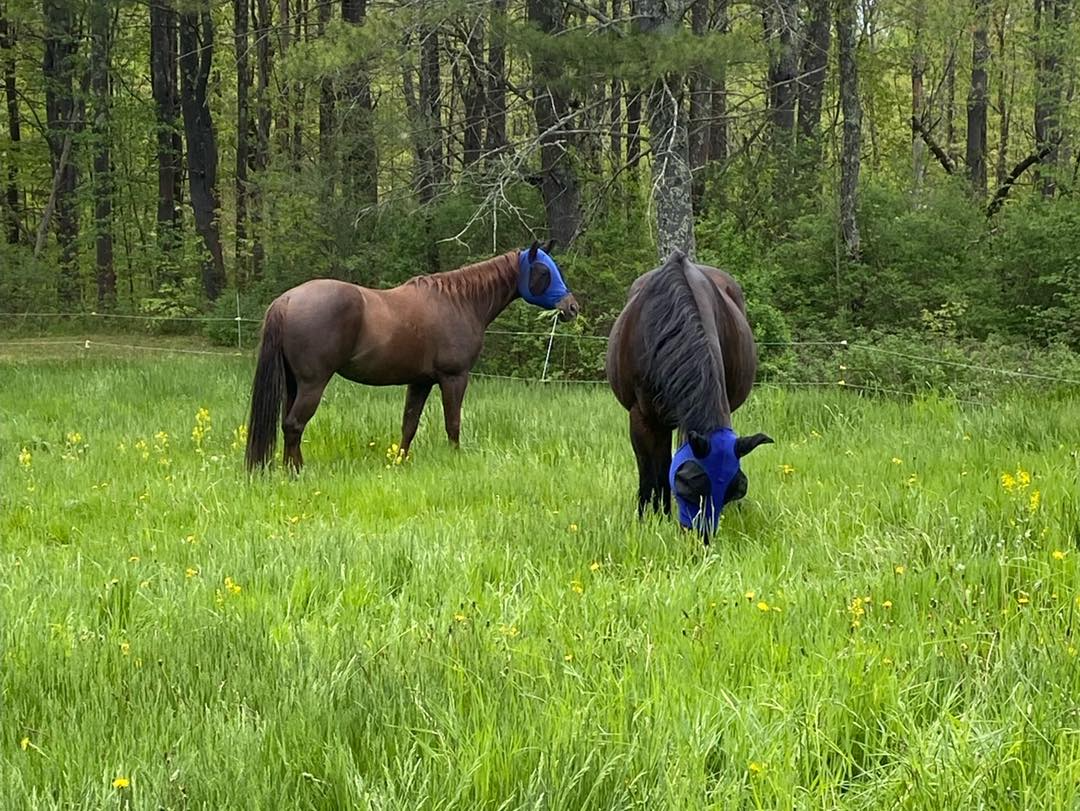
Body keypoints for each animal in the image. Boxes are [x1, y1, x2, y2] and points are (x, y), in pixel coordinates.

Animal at [245, 241, 579, 471]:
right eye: (543, 271)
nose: (572, 307)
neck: (460, 302)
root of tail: (288, 299)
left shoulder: (420, 382)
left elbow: (409, 424)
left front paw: (399, 463)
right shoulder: (454, 378)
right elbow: (452, 423)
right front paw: (455, 459)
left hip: (293, 384)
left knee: (288, 424)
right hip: (312, 384)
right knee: (294, 425)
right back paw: (297, 473)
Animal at [605, 250, 772, 539]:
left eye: (735, 489)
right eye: (688, 484)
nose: (701, 538)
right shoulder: (641, 418)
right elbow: (651, 471)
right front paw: (649, 518)